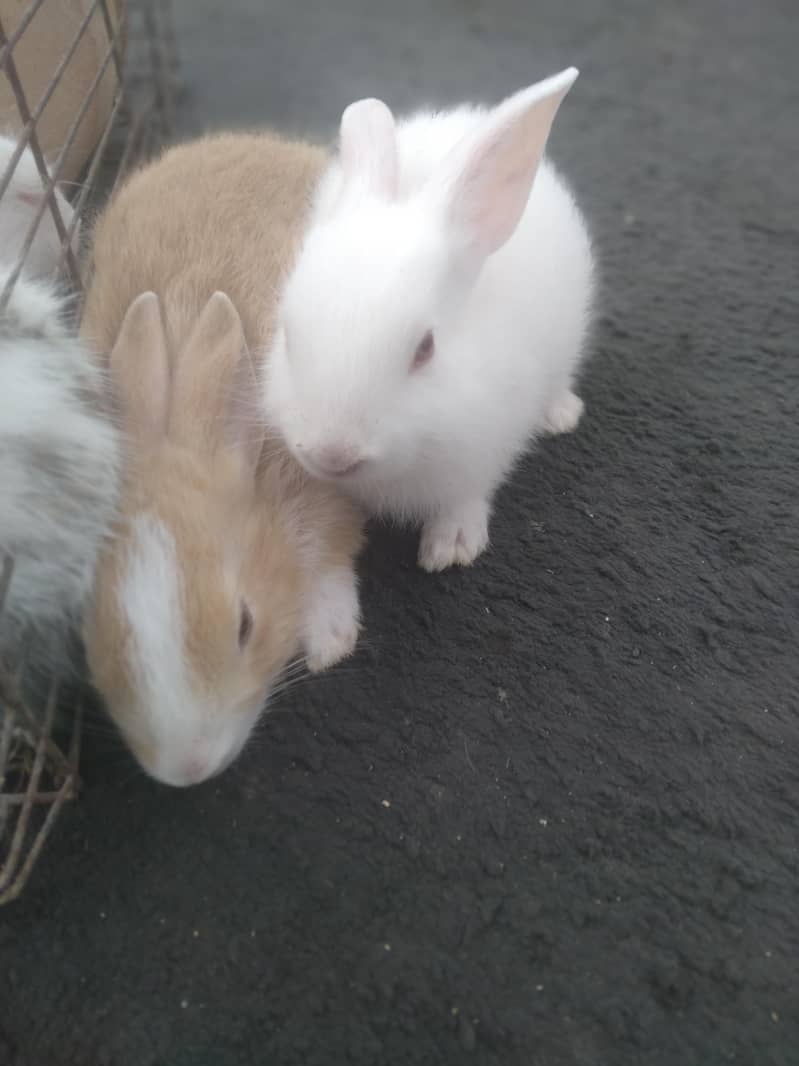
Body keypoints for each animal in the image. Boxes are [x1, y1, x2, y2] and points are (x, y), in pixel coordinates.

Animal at [262, 68, 596, 571]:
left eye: (425, 349)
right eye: (287, 336)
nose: (333, 453)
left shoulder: (483, 450)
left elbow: (465, 496)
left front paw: (451, 549)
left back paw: (560, 415)